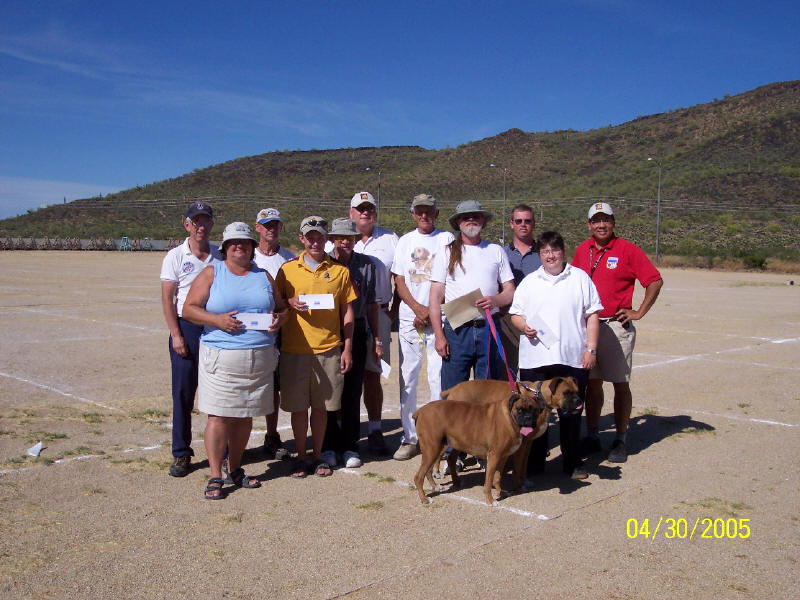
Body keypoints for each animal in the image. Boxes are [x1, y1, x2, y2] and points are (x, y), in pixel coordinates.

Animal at [412, 391, 547, 505]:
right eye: (519, 410)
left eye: (534, 410)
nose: (528, 418)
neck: (509, 418)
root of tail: (421, 410)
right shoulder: (494, 456)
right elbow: (489, 480)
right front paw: (490, 500)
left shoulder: (503, 457)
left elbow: (497, 477)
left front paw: (500, 492)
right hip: (432, 449)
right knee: (419, 477)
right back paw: (424, 498)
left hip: (439, 448)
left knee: (429, 470)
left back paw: (436, 486)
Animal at [439, 377, 582, 490]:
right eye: (566, 392)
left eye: (577, 391)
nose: (579, 401)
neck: (539, 396)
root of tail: (454, 389)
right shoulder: (522, 443)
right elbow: (518, 466)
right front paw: (518, 486)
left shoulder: (528, 443)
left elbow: (524, 464)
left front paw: (525, 481)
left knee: (451, 458)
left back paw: (456, 481)